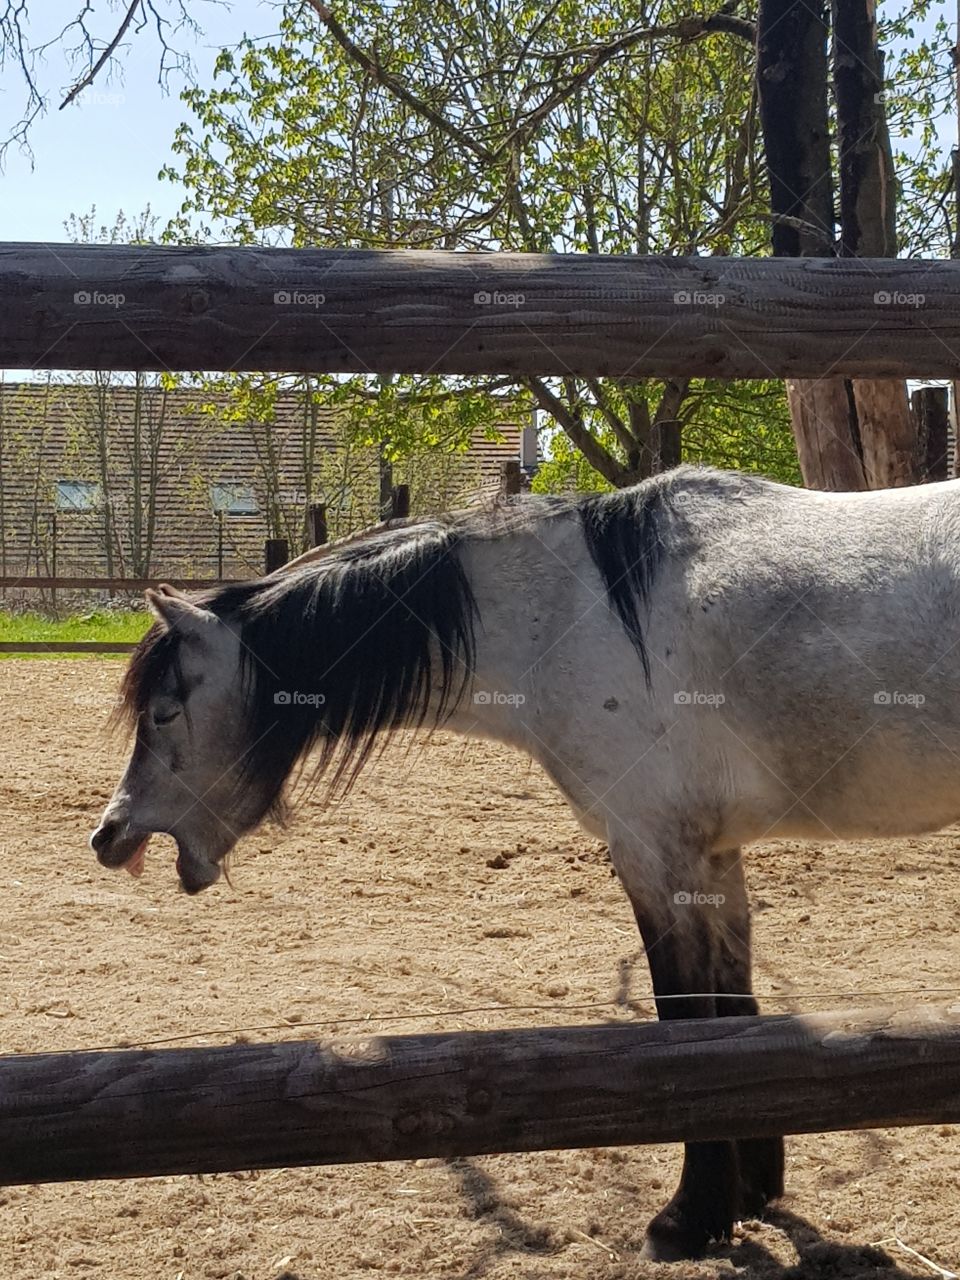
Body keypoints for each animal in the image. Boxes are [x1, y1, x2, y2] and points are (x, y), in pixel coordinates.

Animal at [91, 463, 960, 1260]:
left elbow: (685, 1021)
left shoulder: (654, 850)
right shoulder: (711, 855)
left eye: (164, 710)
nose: (110, 835)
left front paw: (688, 1219)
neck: (574, 610)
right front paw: (748, 1193)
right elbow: (735, 1011)